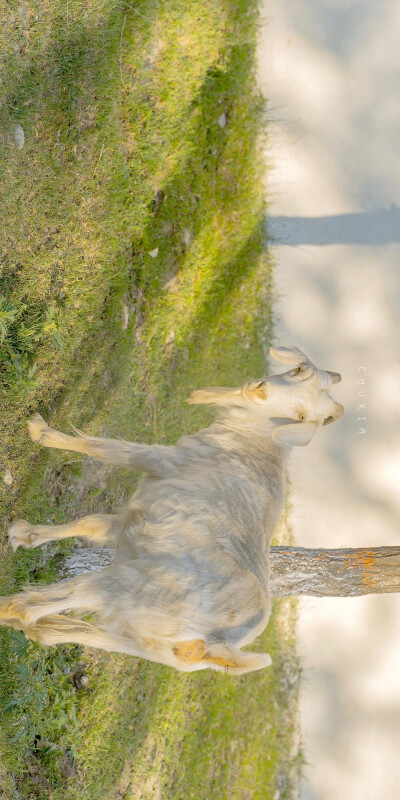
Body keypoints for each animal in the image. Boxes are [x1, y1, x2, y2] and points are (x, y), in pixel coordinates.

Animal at [0, 346, 344, 676]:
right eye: (298, 369)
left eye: (301, 414)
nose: (259, 390)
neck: (254, 440)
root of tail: (218, 644)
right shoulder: (134, 518)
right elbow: (90, 523)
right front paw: (24, 535)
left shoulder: (160, 459)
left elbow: (105, 448)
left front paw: (41, 431)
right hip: (140, 640)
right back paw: (41, 629)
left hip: (128, 584)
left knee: (34, 605)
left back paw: (14, 612)